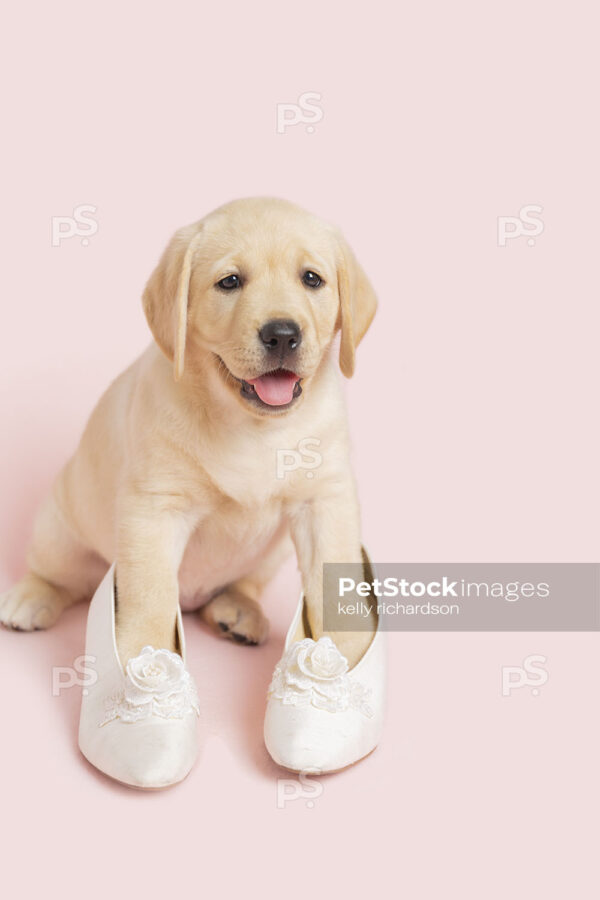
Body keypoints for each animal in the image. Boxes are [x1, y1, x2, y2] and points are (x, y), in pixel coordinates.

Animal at [0, 199, 376, 668]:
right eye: (229, 282)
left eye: (312, 279)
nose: (282, 334)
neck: (252, 427)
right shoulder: (154, 509)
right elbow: (150, 595)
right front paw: (144, 661)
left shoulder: (325, 500)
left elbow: (335, 575)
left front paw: (349, 655)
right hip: (59, 528)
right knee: (59, 575)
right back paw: (31, 597)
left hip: (268, 556)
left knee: (242, 583)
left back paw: (237, 610)